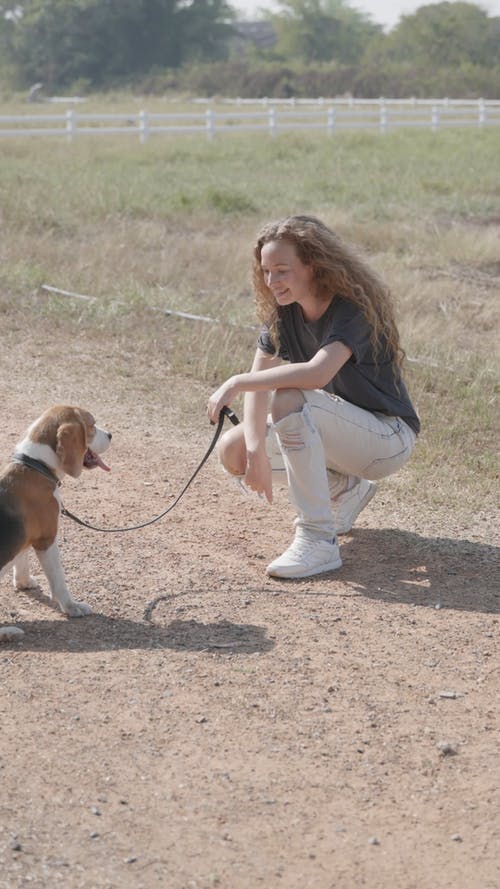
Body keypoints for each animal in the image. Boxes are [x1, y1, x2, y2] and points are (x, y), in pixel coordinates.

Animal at [0, 406, 111, 640]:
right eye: (91, 425)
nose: (110, 435)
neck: (36, 465)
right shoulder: (47, 539)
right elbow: (59, 579)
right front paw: (72, 607)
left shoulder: (28, 538)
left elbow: (21, 559)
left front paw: (24, 582)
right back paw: (9, 632)